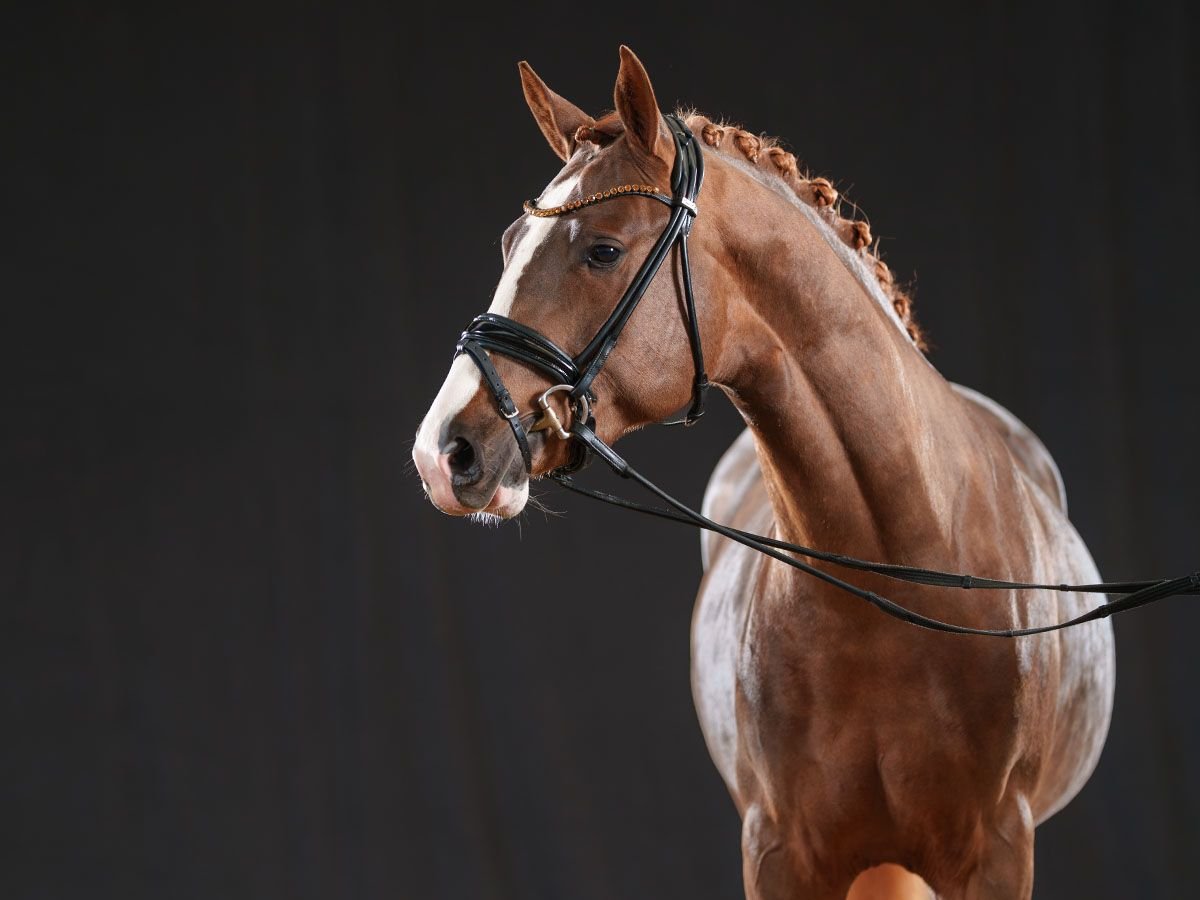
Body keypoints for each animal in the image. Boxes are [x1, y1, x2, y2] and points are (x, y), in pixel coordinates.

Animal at [410, 49, 1113, 900]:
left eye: (602, 249)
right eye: (512, 240)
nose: (445, 450)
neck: (898, 575)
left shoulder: (997, 854)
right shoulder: (779, 852)